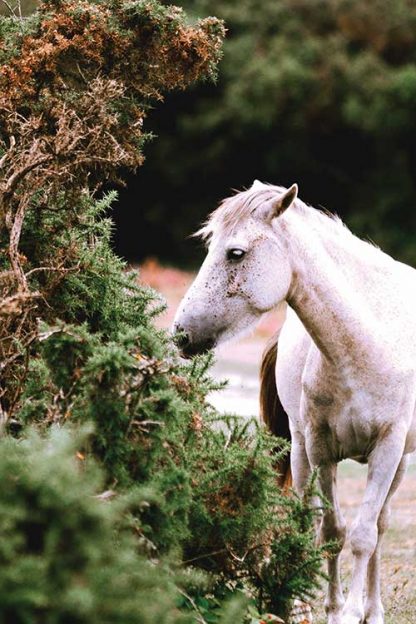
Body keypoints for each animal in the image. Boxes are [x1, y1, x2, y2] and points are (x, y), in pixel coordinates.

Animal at [172, 180, 416, 624]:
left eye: (236, 253)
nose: (180, 333)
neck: (368, 345)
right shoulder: (321, 449)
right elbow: (330, 532)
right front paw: (333, 610)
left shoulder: (388, 449)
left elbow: (364, 535)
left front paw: (353, 611)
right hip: (301, 452)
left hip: (401, 461)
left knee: (382, 525)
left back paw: (374, 610)